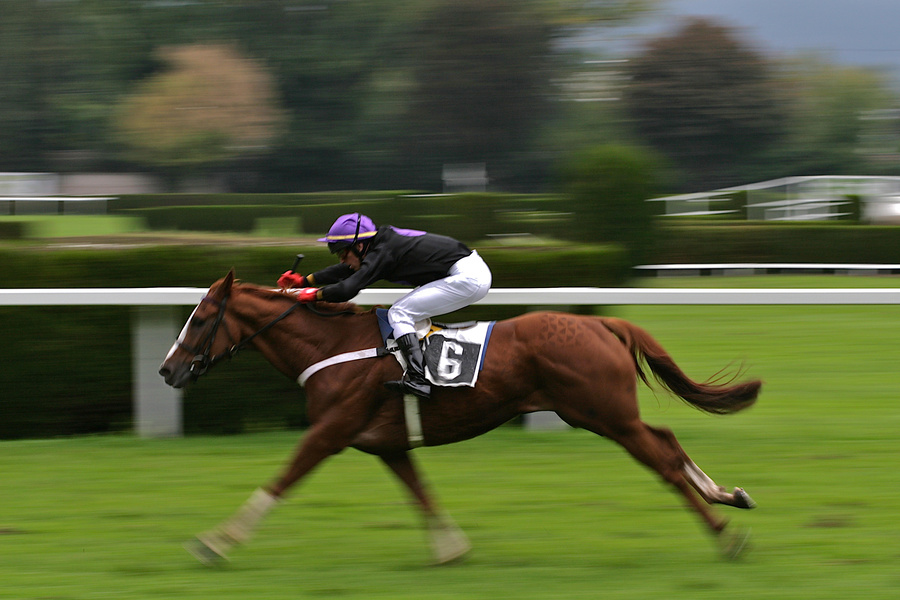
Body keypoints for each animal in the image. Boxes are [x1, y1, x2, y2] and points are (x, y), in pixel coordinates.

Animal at [160, 270, 760, 564]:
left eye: (202, 318)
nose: (168, 370)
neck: (331, 346)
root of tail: (602, 323)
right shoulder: (384, 442)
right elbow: (420, 493)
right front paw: (451, 548)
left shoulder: (330, 431)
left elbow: (281, 480)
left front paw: (215, 543)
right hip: (600, 413)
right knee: (666, 438)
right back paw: (727, 496)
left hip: (603, 414)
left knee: (661, 459)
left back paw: (725, 535)